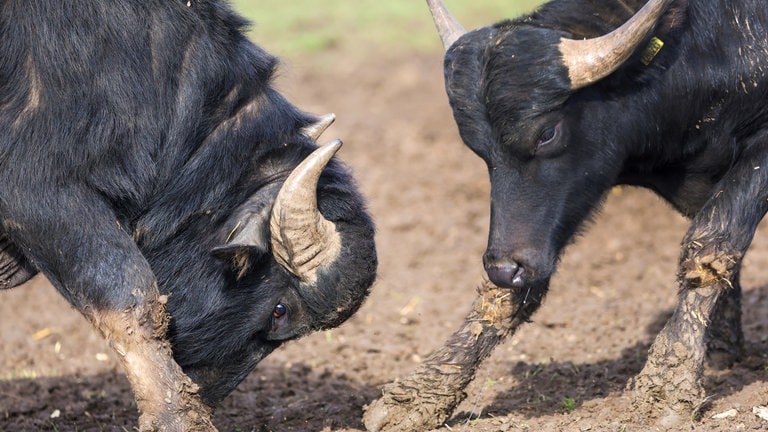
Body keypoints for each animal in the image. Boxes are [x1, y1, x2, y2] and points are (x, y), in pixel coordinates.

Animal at [428, 0, 764, 416]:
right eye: (477, 148)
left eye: (547, 133)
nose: (505, 268)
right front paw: (428, 386)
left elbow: (714, 243)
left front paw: (669, 378)